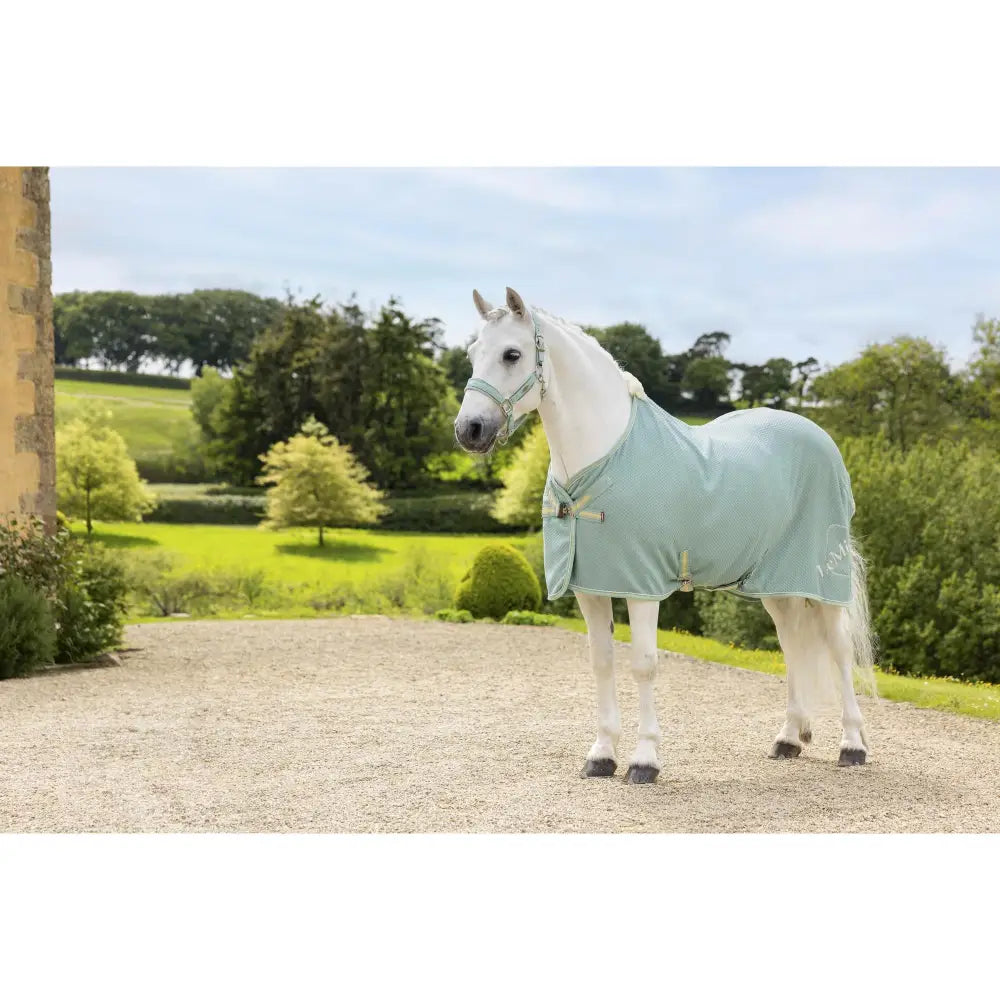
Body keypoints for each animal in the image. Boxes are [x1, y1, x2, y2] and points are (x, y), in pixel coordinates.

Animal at [453, 287, 877, 784]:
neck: (604, 455)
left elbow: (643, 666)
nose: (469, 430)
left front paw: (644, 760)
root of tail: (821, 439)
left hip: (823, 581)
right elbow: (602, 662)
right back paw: (789, 738)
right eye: (472, 354)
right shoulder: (591, 588)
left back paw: (852, 745)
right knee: (792, 645)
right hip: (779, 584)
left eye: (512, 354)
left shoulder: (642, 587)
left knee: (839, 651)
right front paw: (601, 755)